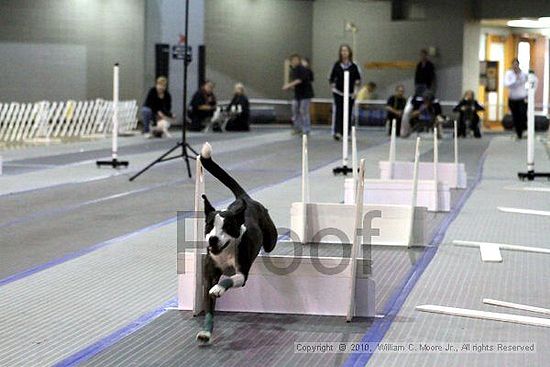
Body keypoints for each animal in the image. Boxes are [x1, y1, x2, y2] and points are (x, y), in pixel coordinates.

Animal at [196, 142, 278, 344]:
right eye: (209, 226)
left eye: (227, 227)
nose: (213, 239)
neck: (225, 252)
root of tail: (246, 199)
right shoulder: (209, 274)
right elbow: (209, 306)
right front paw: (206, 332)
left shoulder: (242, 273)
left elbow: (229, 279)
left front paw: (219, 289)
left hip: (270, 237)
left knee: (270, 245)